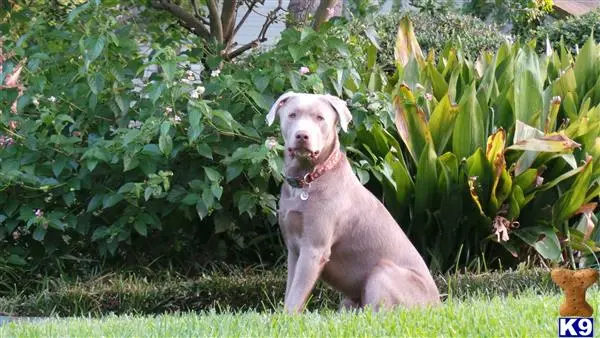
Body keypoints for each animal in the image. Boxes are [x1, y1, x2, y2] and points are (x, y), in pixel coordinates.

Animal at [268, 91, 440, 312]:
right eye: (292, 115)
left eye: (320, 118)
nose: (302, 136)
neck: (307, 180)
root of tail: (438, 304)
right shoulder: (293, 249)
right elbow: (290, 289)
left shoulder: (314, 248)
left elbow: (295, 296)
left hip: (382, 272)